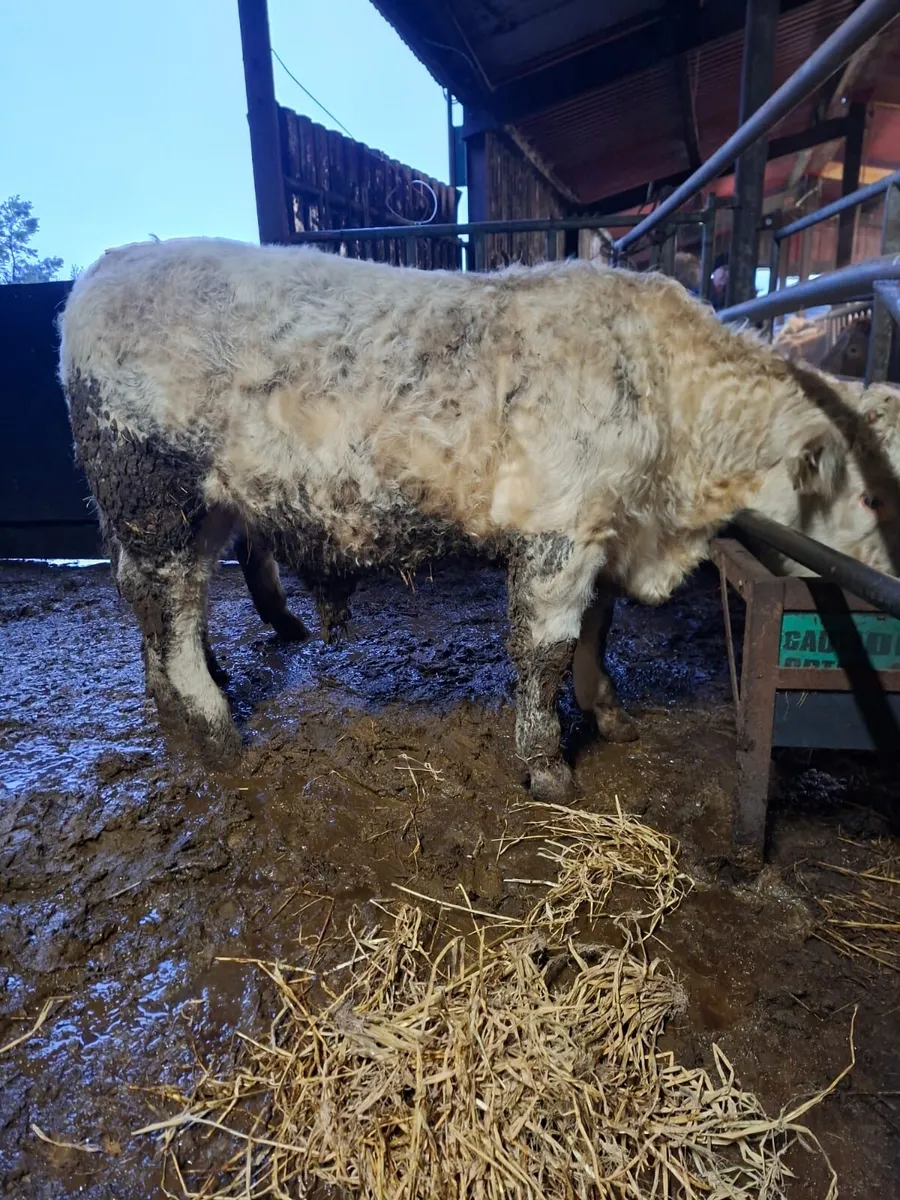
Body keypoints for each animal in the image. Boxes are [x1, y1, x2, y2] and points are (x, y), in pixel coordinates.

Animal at [58, 238, 900, 800]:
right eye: (871, 496)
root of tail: (104, 270)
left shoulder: (602, 528)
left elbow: (597, 630)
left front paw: (609, 711)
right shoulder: (559, 529)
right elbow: (546, 650)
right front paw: (547, 763)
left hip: (190, 512)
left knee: (155, 604)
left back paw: (179, 705)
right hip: (156, 496)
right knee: (171, 610)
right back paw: (214, 729)